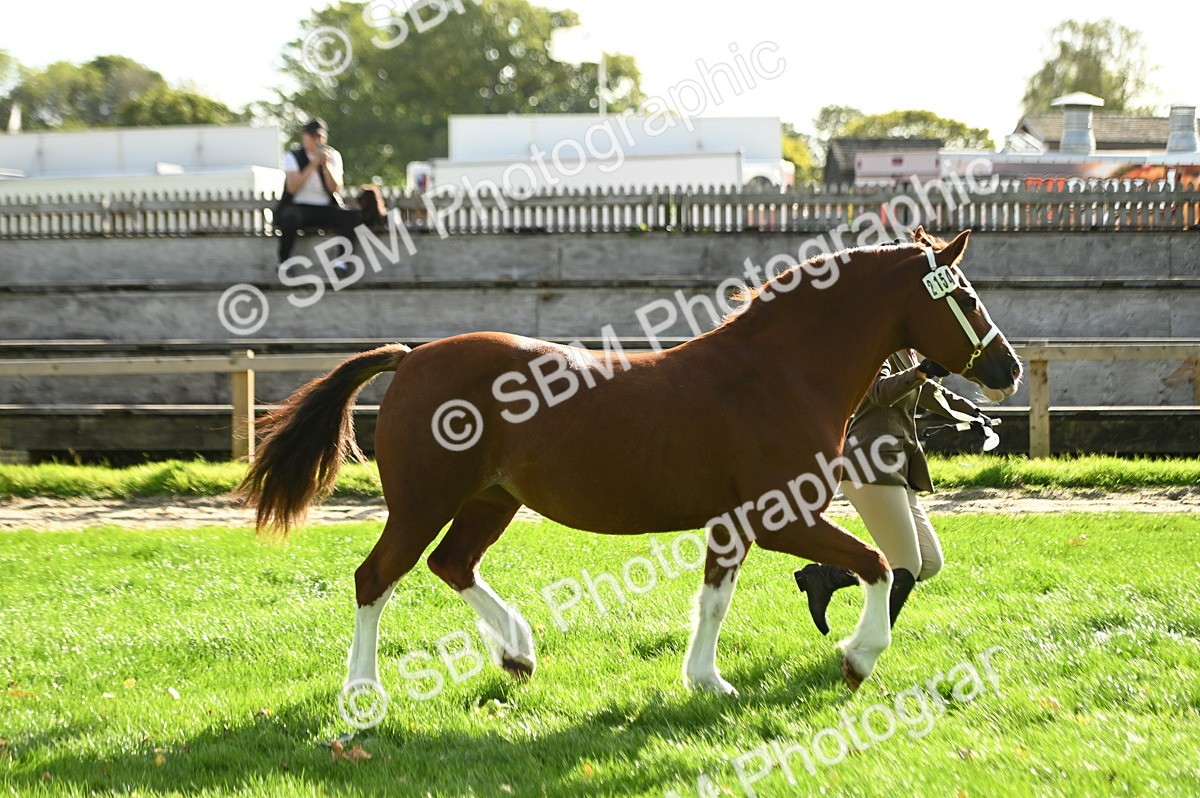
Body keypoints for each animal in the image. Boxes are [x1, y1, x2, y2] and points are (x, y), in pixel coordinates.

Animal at [236, 227, 1022, 699]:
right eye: (967, 295)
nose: (1008, 369)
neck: (778, 373)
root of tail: (412, 357)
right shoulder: (779, 518)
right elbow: (877, 563)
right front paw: (858, 660)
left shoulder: (733, 525)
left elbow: (715, 597)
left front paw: (707, 682)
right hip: (424, 501)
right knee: (376, 579)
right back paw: (363, 691)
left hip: (491, 500)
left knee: (451, 565)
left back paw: (519, 654)